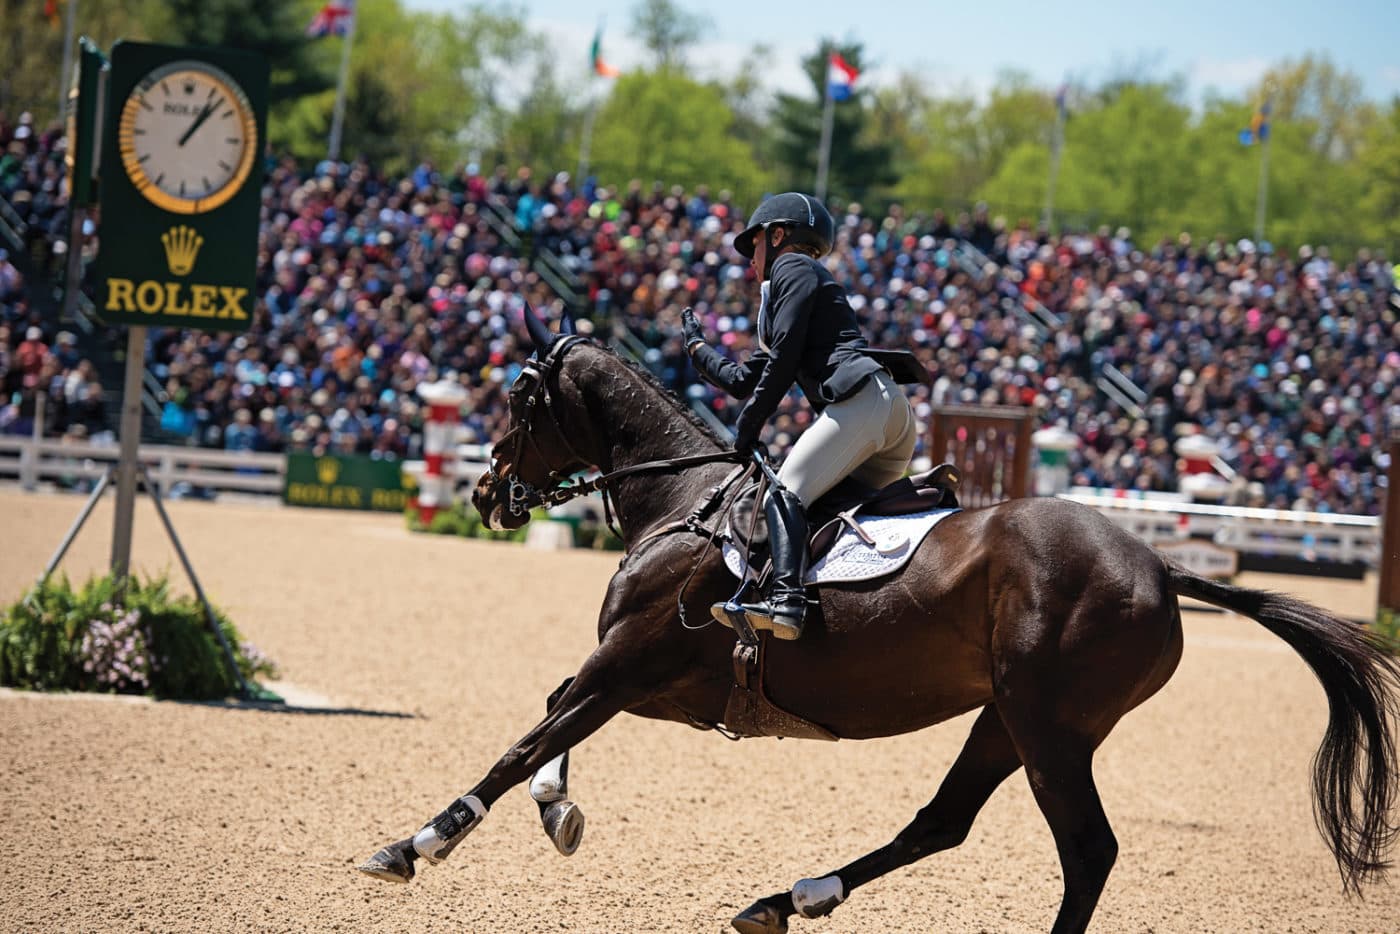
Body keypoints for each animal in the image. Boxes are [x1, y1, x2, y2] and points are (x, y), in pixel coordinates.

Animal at [360, 306, 1400, 934]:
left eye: (518, 396)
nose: (486, 494)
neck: (684, 501)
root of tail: (1156, 563)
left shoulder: (627, 666)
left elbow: (522, 744)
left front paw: (416, 844)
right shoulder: (643, 681)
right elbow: (548, 723)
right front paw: (559, 812)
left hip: (1050, 725)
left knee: (1086, 851)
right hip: (1009, 717)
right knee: (943, 823)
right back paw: (790, 897)